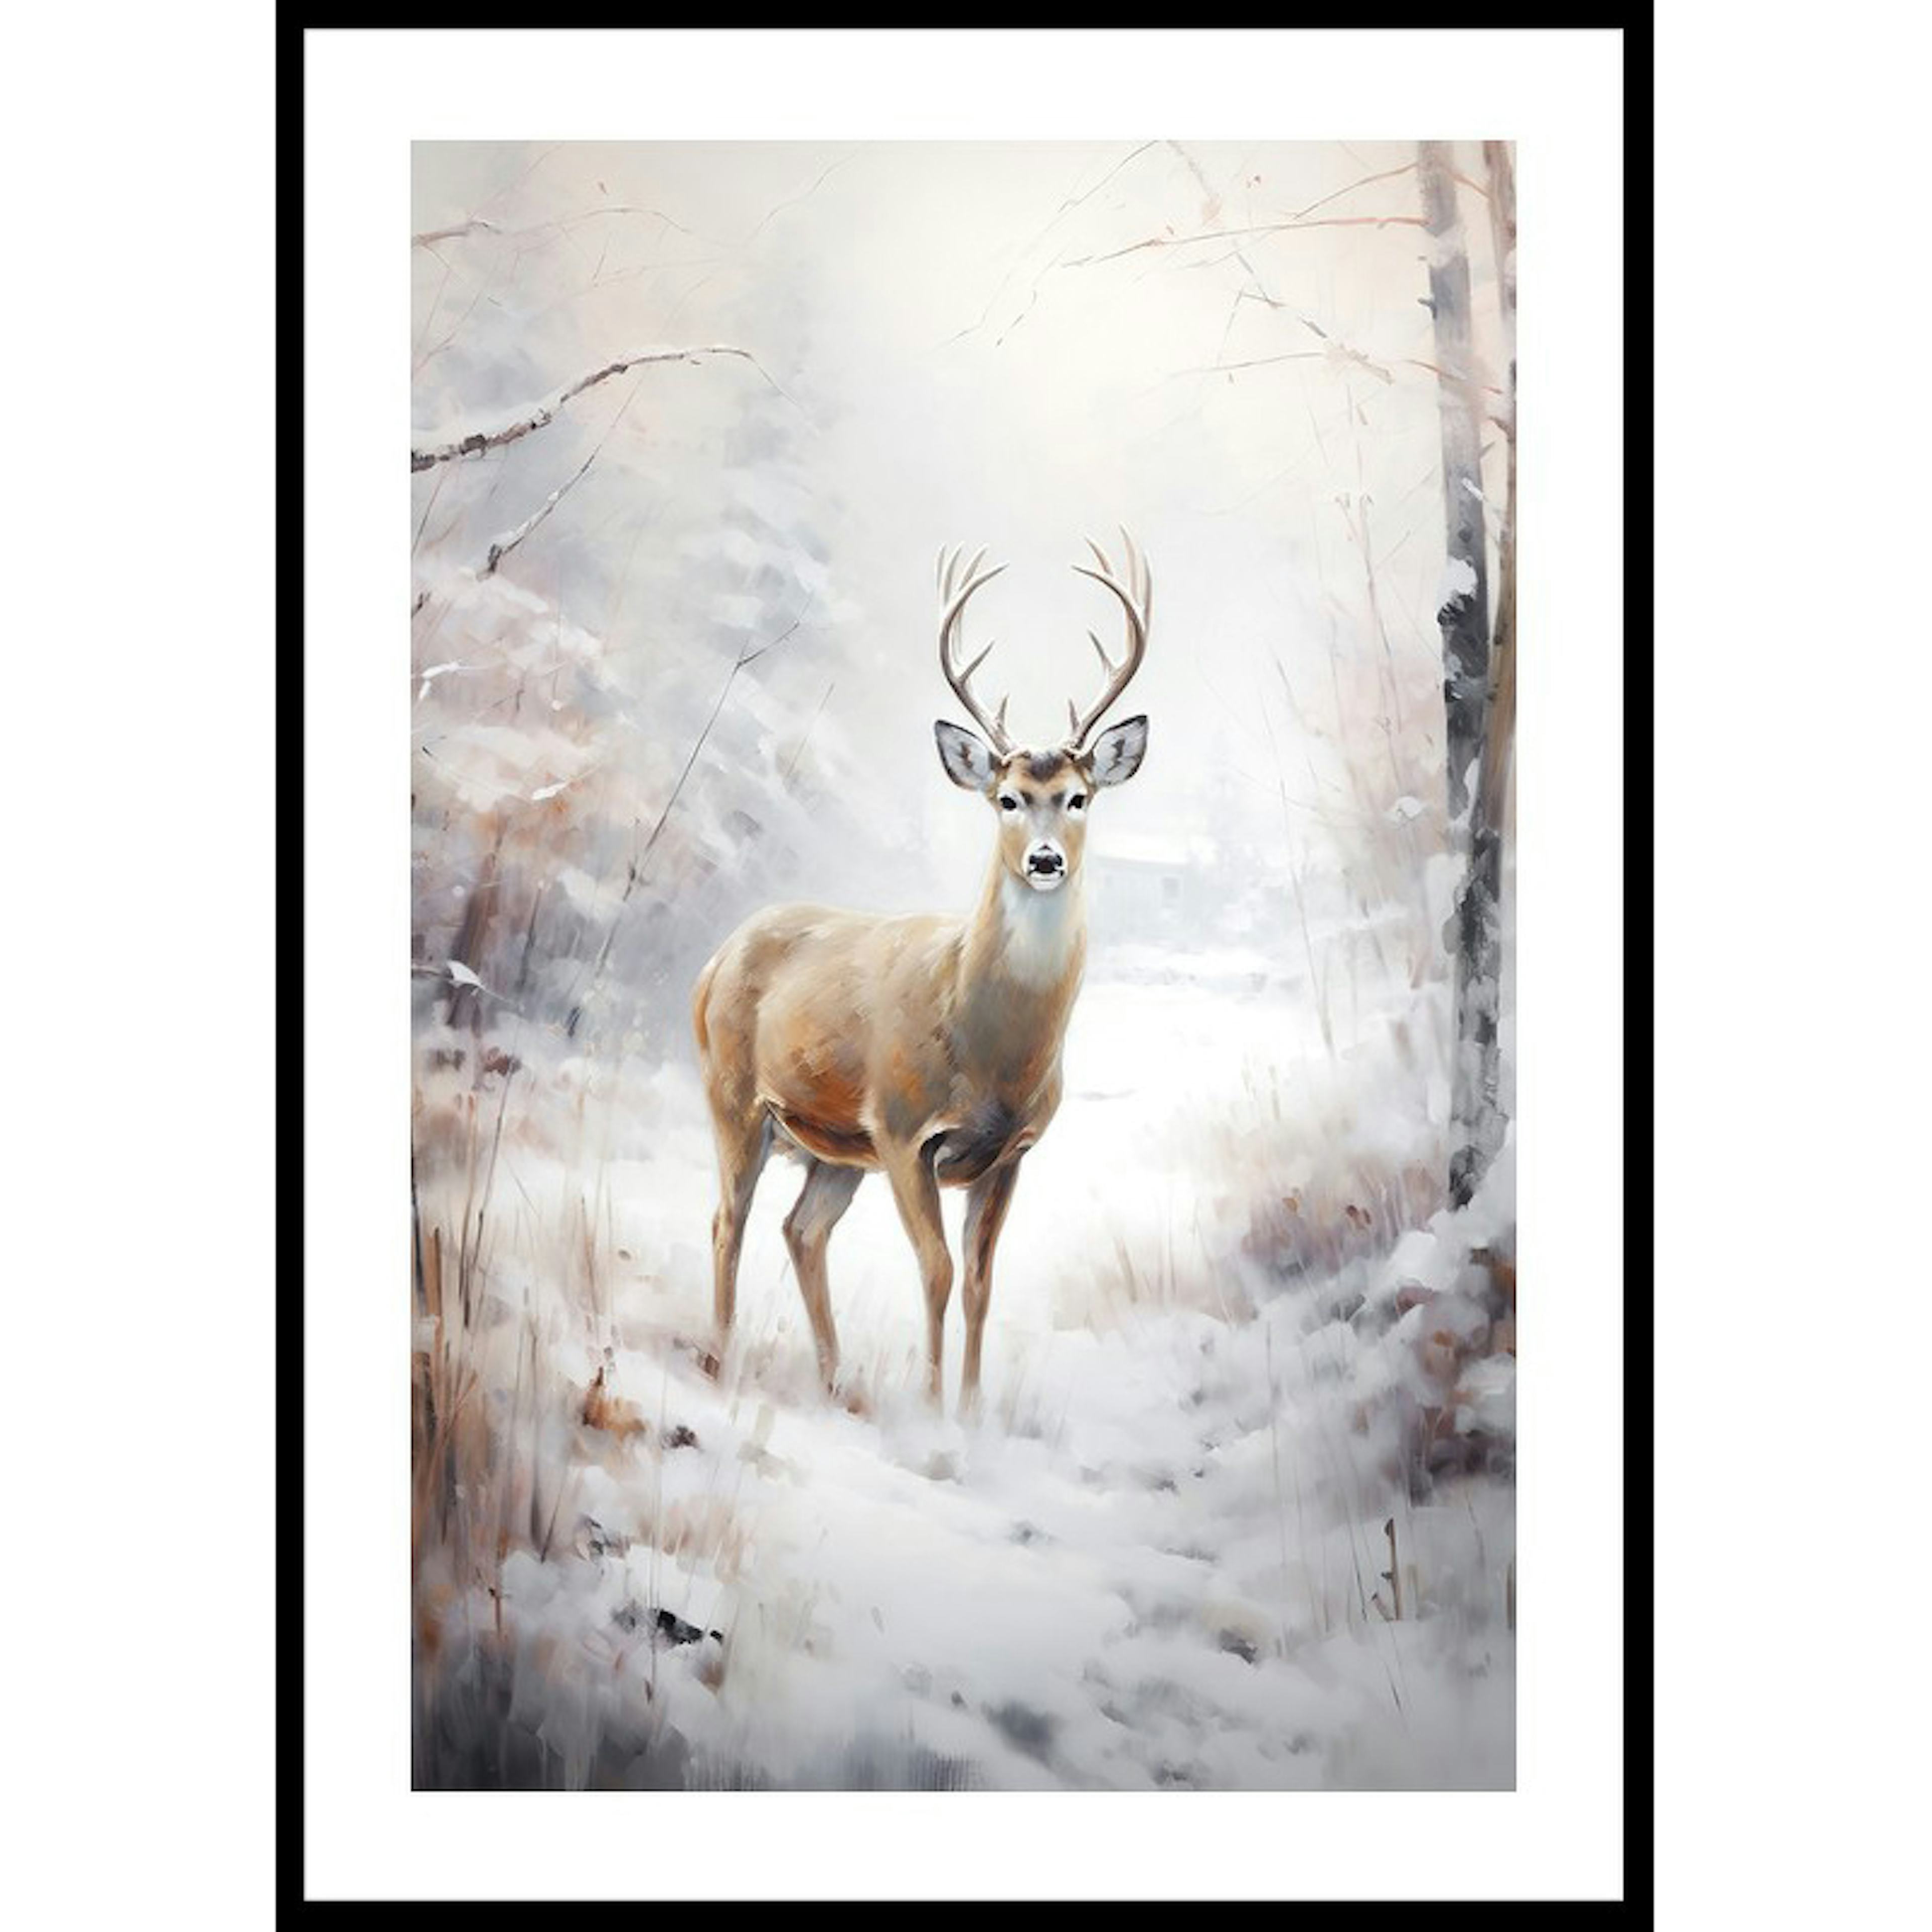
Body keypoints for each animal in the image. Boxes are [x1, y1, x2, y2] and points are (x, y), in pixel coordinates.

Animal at [691, 534, 1153, 1412]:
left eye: (1079, 797)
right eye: (1007, 798)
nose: (1046, 860)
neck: (990, 1048)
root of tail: (717, 956)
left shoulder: (1011, 1152)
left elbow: (978, 1284)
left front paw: (969, 1412)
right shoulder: (907, 1131)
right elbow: (936, 1273)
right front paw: (933, 1409)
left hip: (836, 1148)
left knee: (801, 1229)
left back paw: (836, 1381)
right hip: (736, 1096)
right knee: (728, 1221)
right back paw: (718, 1359)